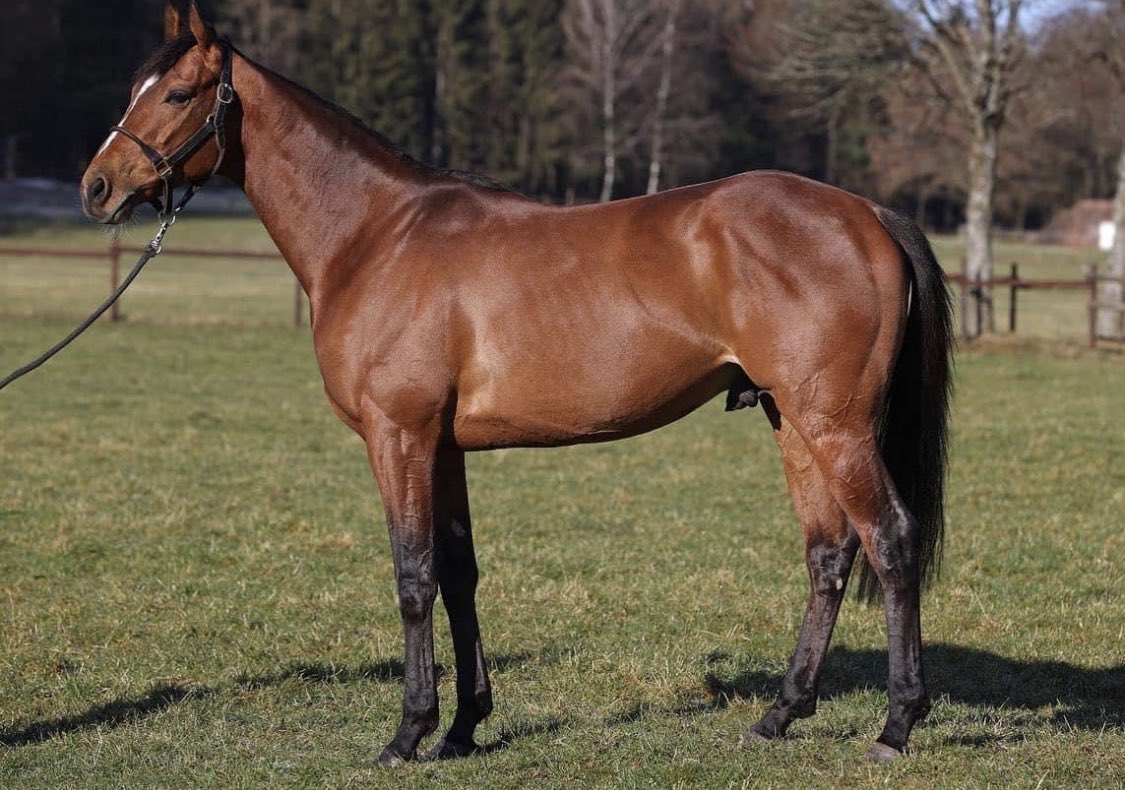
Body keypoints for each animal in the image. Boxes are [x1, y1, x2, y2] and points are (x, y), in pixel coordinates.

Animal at [79, 1, 952, 766]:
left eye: (179, 93)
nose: (96, 187)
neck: (376, 237)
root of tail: (867, 213)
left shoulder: (398, 435)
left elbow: (413, 576)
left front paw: (407, 733)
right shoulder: (443, 447)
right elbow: (458, 575)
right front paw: (463, 728)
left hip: (835, 425)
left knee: (890, 540)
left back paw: (895, 725)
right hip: (790, 420)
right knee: (828, 555)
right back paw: (778, 715)